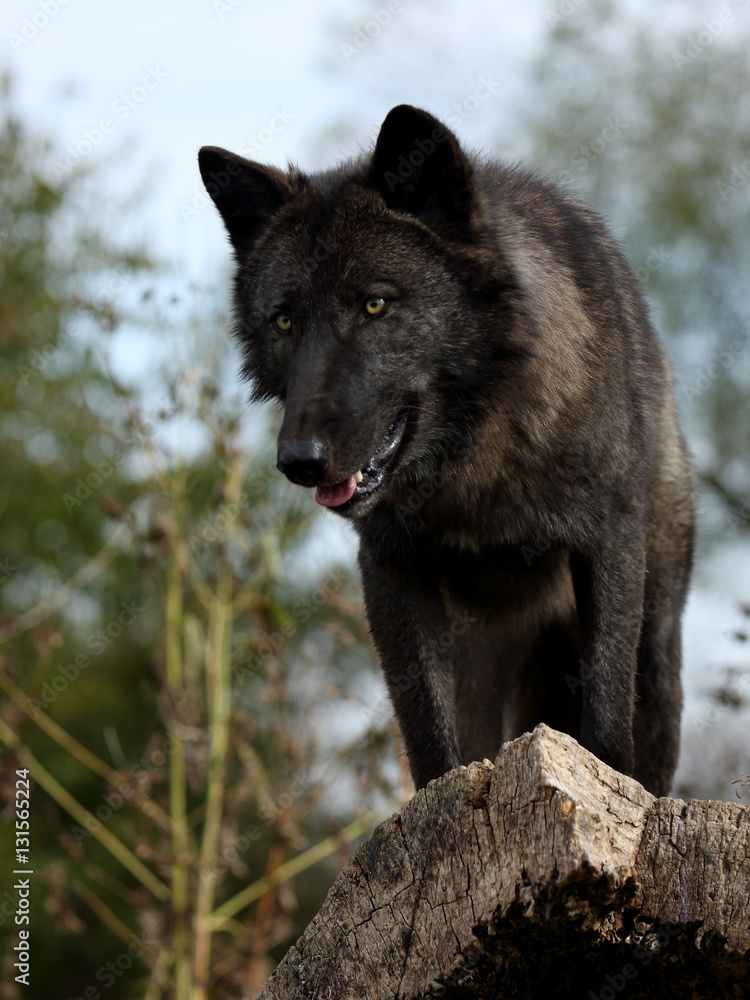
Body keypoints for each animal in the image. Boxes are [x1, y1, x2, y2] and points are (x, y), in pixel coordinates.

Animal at [199, 104, 695, 797]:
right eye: (284, 321)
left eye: (375, 304)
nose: (299, 460)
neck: (474, 471)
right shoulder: (391, 569)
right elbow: (430, 737)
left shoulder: (608, 544)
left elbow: (603, 714)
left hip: (658, 648)